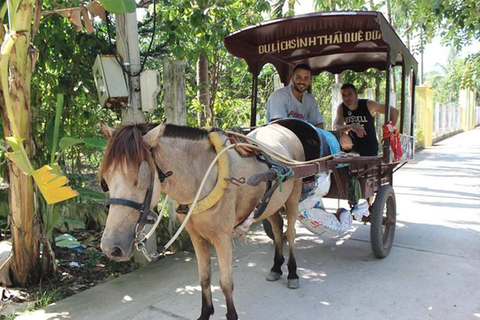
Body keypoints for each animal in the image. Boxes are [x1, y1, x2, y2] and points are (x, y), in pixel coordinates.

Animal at [99, 122, 306, 320]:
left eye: (141, 178)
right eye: (105, 180)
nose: (111, 248)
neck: (202, 177)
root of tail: (282, 127)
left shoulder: (222, 238)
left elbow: (226, 283)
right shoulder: (196, 237)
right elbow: (204, 278)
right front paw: (205, 313)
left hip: (294, 196)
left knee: (291, 233)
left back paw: (292, 273)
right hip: (270, 203)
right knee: (278, 227)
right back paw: (276, 267)